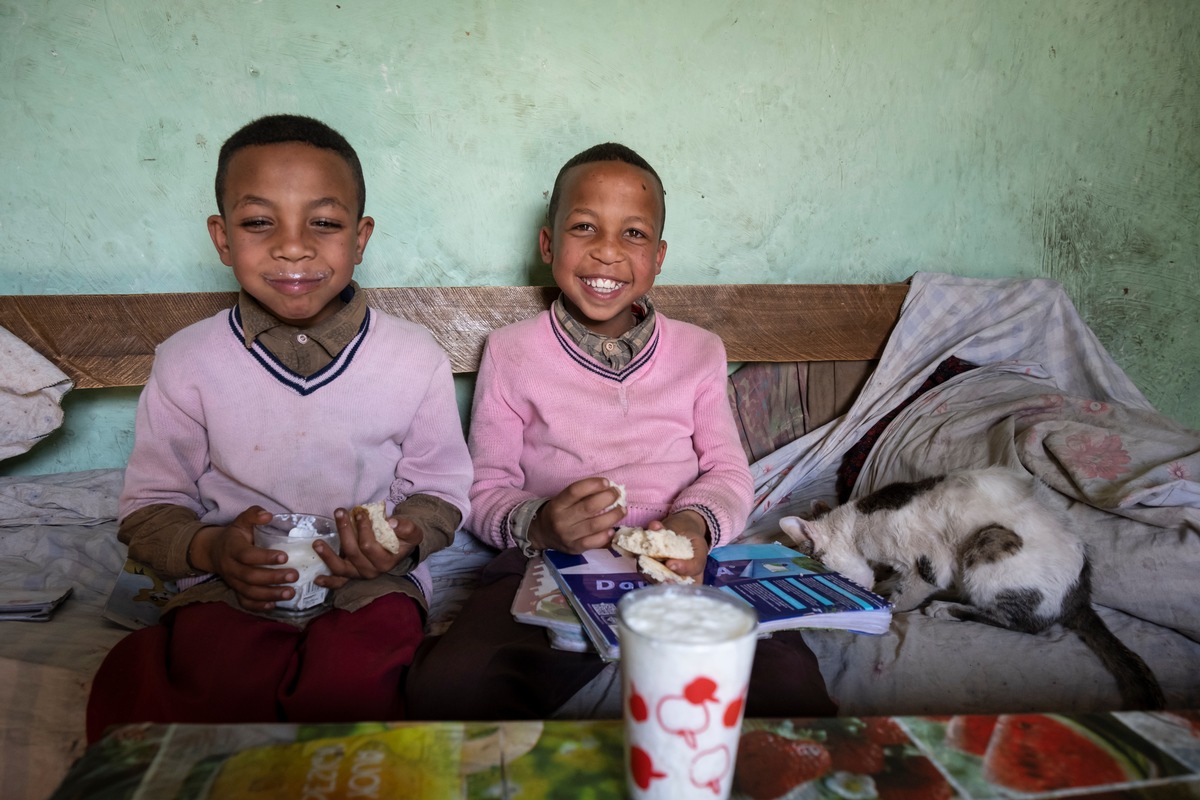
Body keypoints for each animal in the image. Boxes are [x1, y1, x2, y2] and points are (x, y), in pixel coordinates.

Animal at [777, 465, 1161, 710]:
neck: (857, 524)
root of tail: (1081, 593)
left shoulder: (929, 562)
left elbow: (907, 596)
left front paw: (892, 604)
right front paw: (885, 584)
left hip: (986, 542)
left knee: (1021, 623)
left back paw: (945, 609)